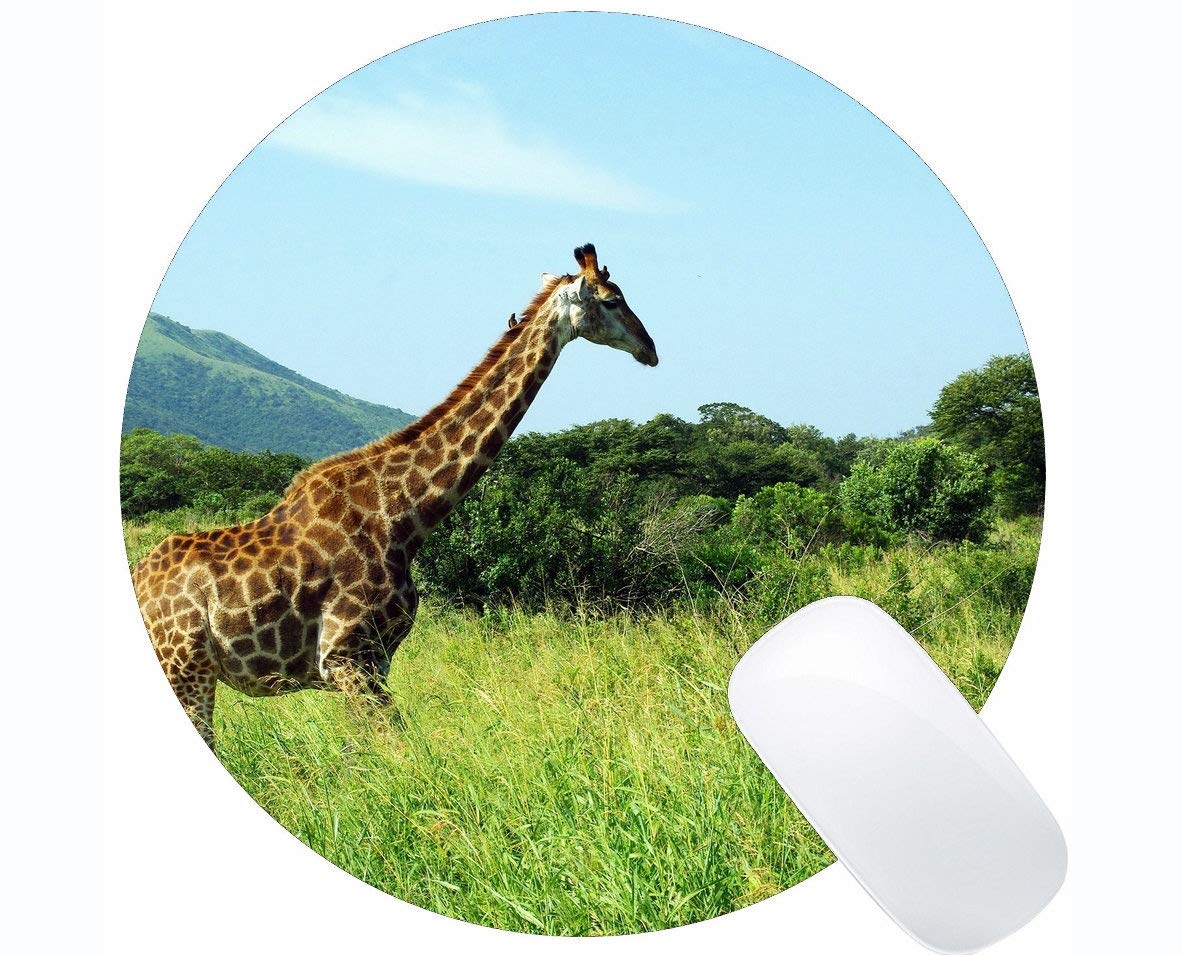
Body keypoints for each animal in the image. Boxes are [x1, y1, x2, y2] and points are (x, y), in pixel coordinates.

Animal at [132, 244, 658, 748]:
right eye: (611, 300)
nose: (650, 350)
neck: (405, 516)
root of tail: (139, 579)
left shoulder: (373, 662)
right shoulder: (349, 658)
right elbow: (394, 749)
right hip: (187, 669)